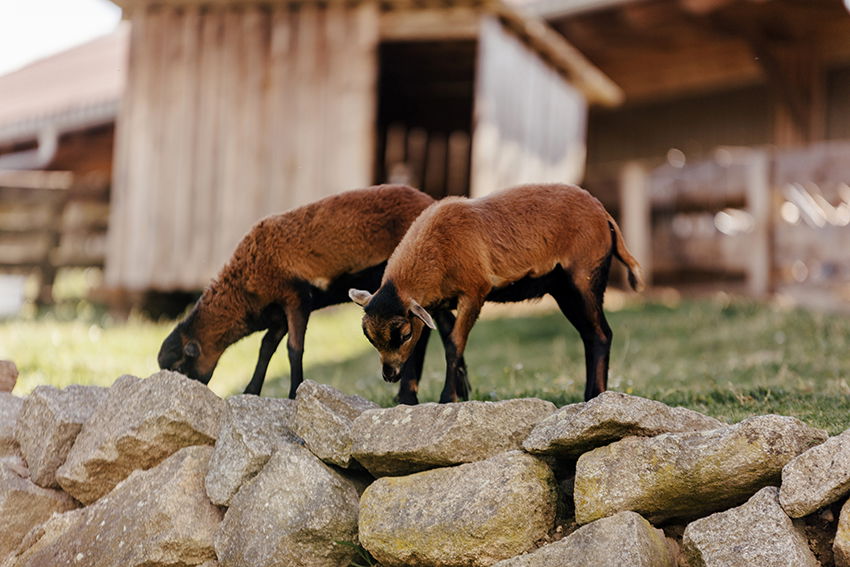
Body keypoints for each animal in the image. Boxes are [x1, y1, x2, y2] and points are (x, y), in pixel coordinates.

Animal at [156, 184, 468, 402]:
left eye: (179, 367)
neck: (245, 287)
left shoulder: (295, 298)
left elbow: (294, 349)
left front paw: (295, 394)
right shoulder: (279, 314)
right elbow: (266, 348)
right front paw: (251, 391)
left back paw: (416, 395)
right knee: (445, 327)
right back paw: (458, 391)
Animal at [348, 184, 640, 402]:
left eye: (404, 334)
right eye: (368, 336)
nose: (390, 374)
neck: (438, 248)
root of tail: (605, 215)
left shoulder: (474, 292)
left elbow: (454, 344)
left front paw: (448, 399)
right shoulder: (436, 306)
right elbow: (443, 343)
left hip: (585, 278)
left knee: (602, 334)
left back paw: (595, 396)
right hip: (564, 290)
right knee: (591, 335)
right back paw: (590, 395)